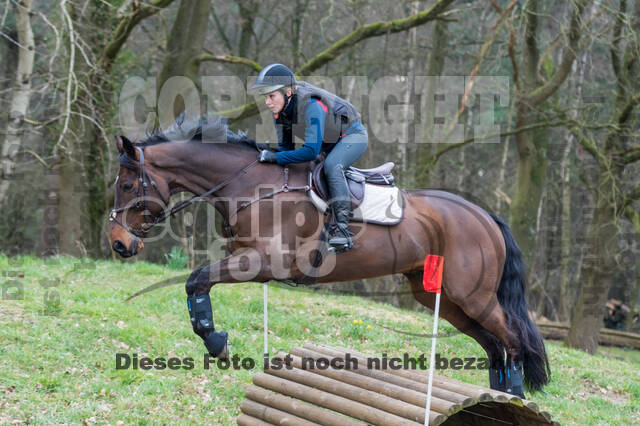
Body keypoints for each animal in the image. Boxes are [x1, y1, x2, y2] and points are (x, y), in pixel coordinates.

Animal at [107, 118, 548, 398]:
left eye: (127, 185)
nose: (118, 244)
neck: (250, 185)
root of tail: (484, 216)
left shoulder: (262, 263)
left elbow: (196, 278)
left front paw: (216, 342)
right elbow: (197, 282)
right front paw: (214, 339)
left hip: (471, 293)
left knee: (512, 338)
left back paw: (516, 396)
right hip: (440, 296)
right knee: (492, 343)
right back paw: (499, 399)